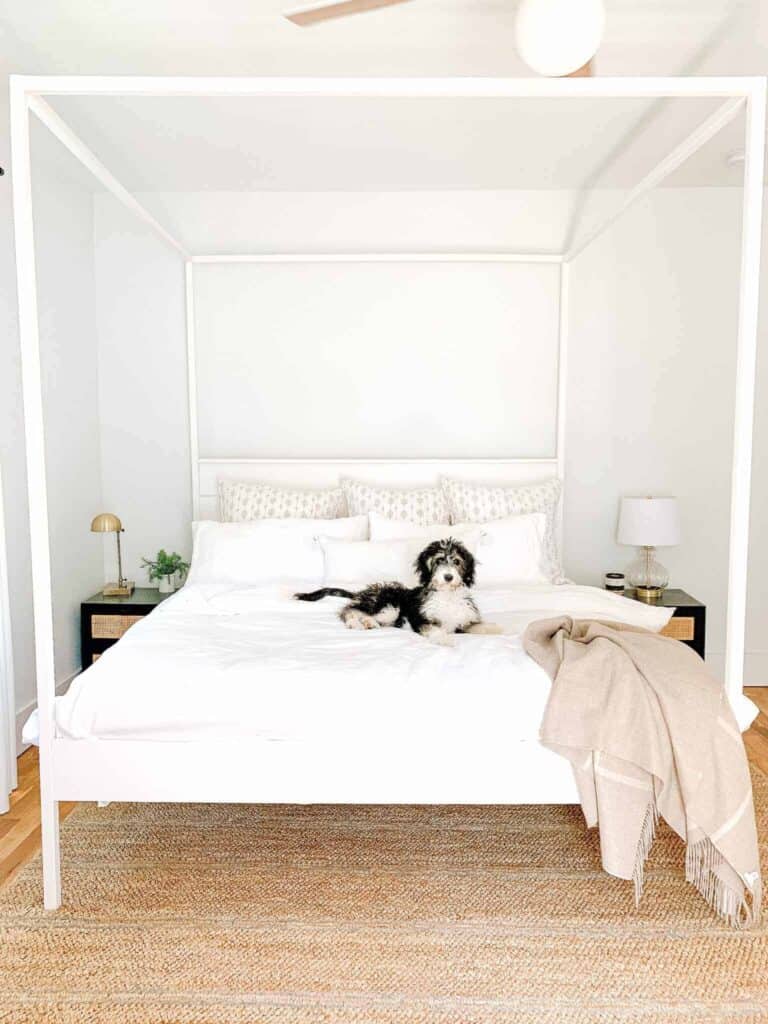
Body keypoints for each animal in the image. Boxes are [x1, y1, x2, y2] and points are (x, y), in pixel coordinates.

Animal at [292, 536, 499, 647]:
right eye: (439, 560)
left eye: (456, 561)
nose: (448, 577)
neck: (447, 594)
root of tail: (364, 592)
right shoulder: (420, 619)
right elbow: (434, 629)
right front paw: (445, 639)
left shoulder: (463, 622)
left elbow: (478, 626)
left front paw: (497, 628)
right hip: (390, 606)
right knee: (349, 610)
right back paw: (359, 622)